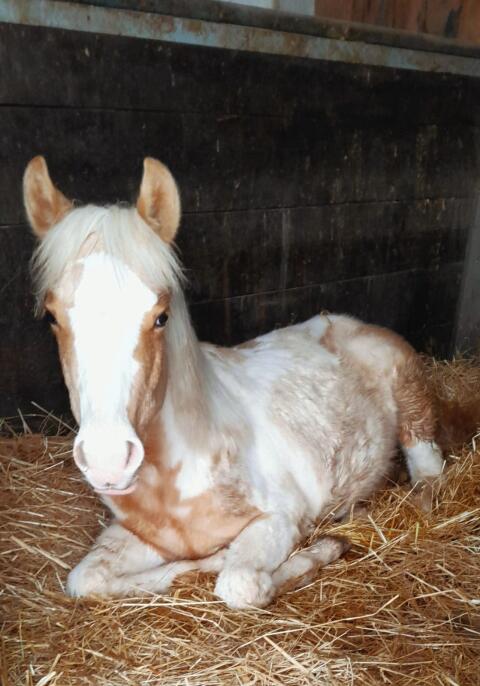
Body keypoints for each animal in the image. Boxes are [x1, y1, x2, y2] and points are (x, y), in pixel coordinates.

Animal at [23, 156, 444, 609]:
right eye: (52, 316)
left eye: (160, 316)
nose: (108, 461)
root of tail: (351, 324)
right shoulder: (140, 536)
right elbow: (86, 579)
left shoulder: (280, 517)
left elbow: (239, 584)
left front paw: (324, 548)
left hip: (415, 418)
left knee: (428, 478)